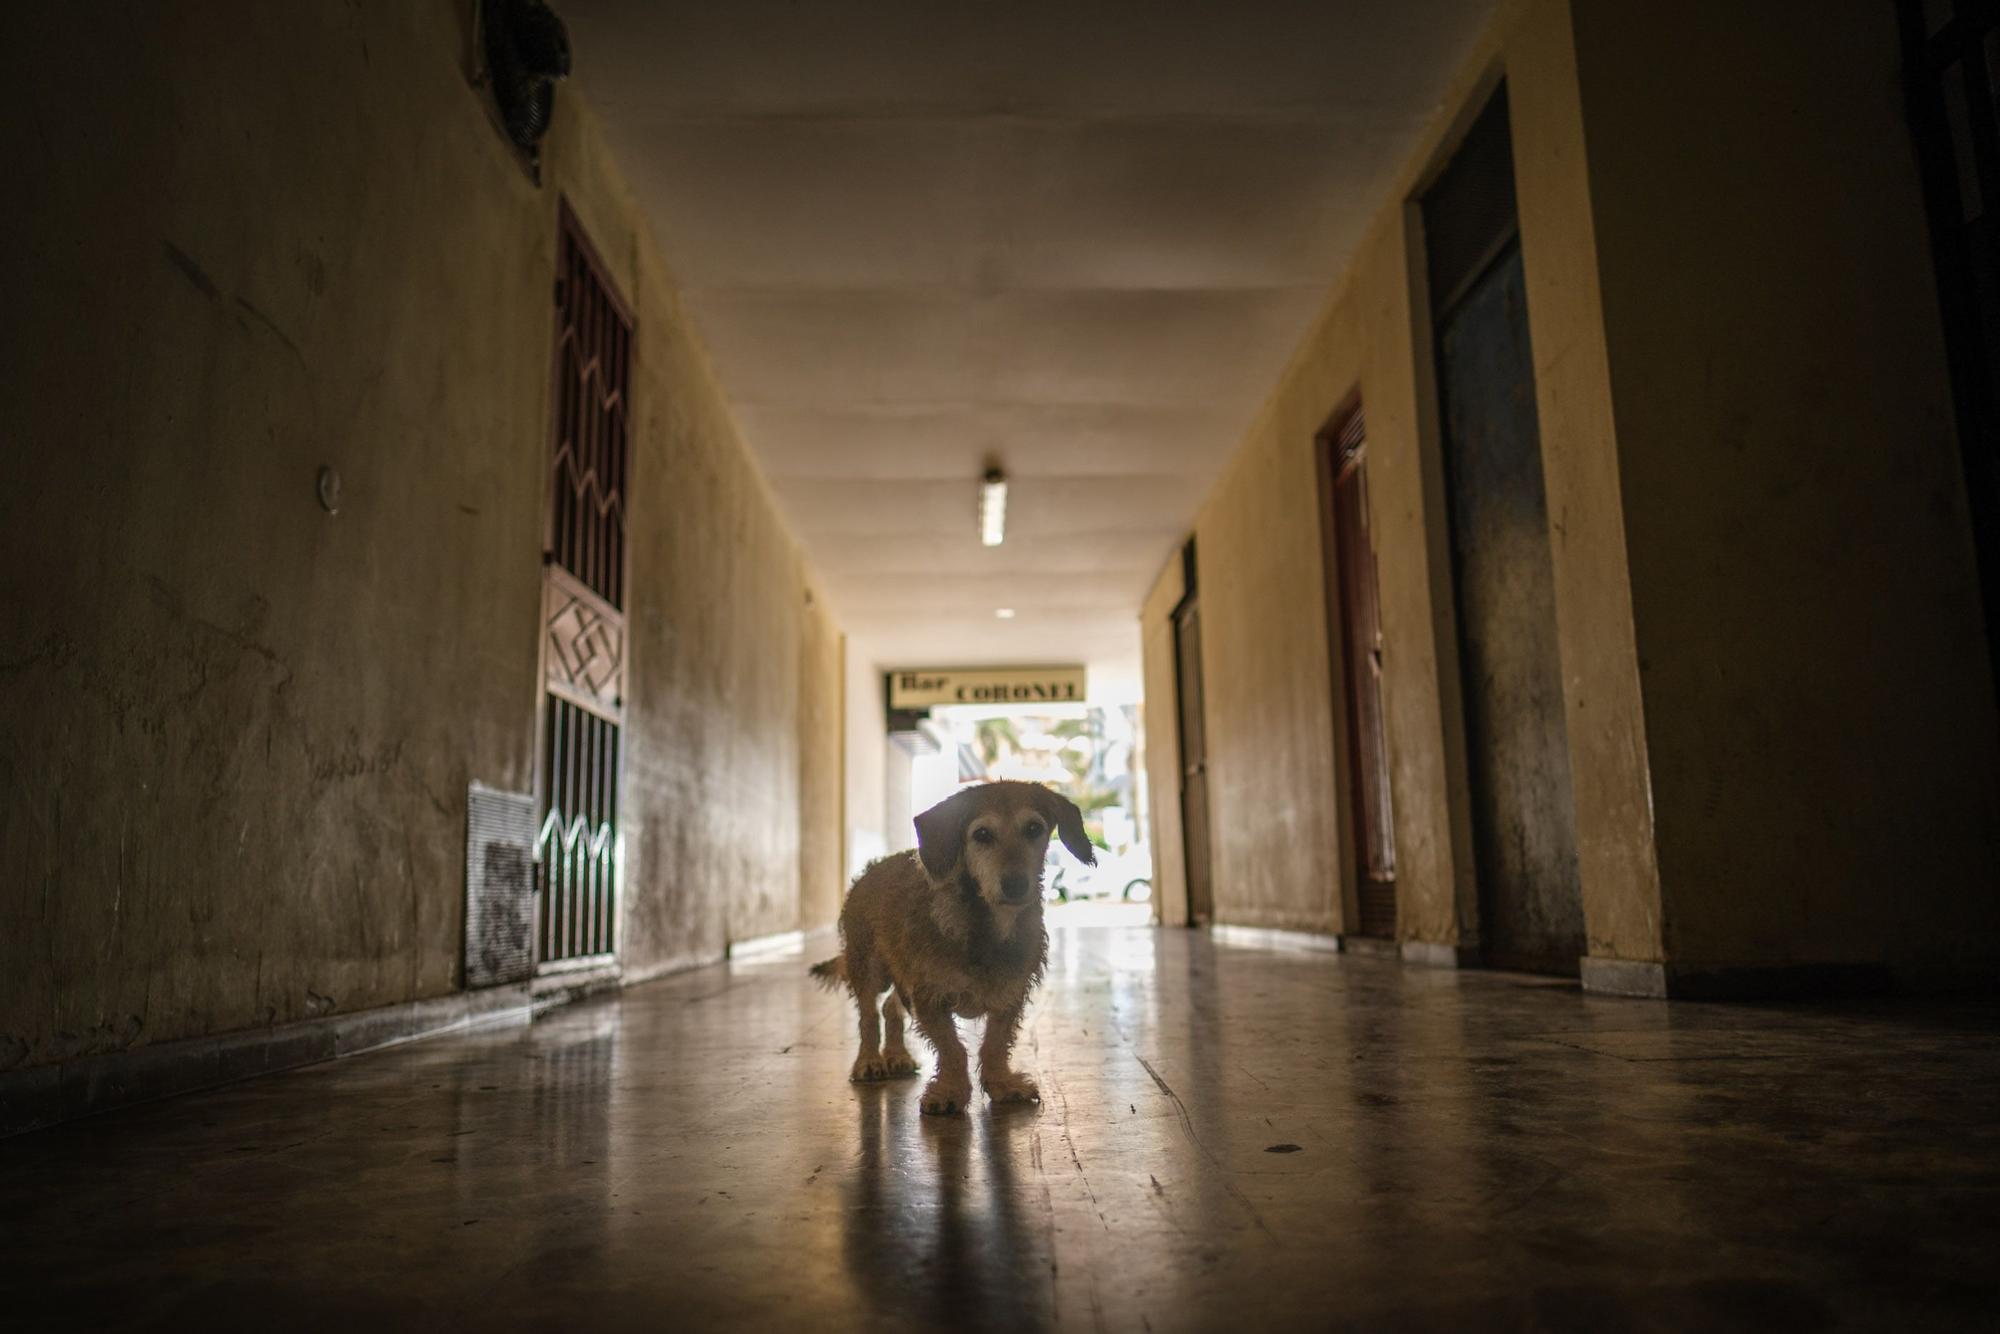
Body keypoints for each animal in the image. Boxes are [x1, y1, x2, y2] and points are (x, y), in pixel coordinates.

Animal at [808, 784, 1096, 1120]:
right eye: (982, 834)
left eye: (1034, 828)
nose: (1015, 884)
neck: (983, 928)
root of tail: (873, 868)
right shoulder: (929, 997)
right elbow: (952, 1048)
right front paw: (949, 1093)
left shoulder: (1010, 995)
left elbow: (994, 1044)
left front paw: (1002, 1083)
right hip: (870, 969)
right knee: (869, 1016)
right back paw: (869, 1061)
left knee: (890, 1007)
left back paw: (897, 1055)